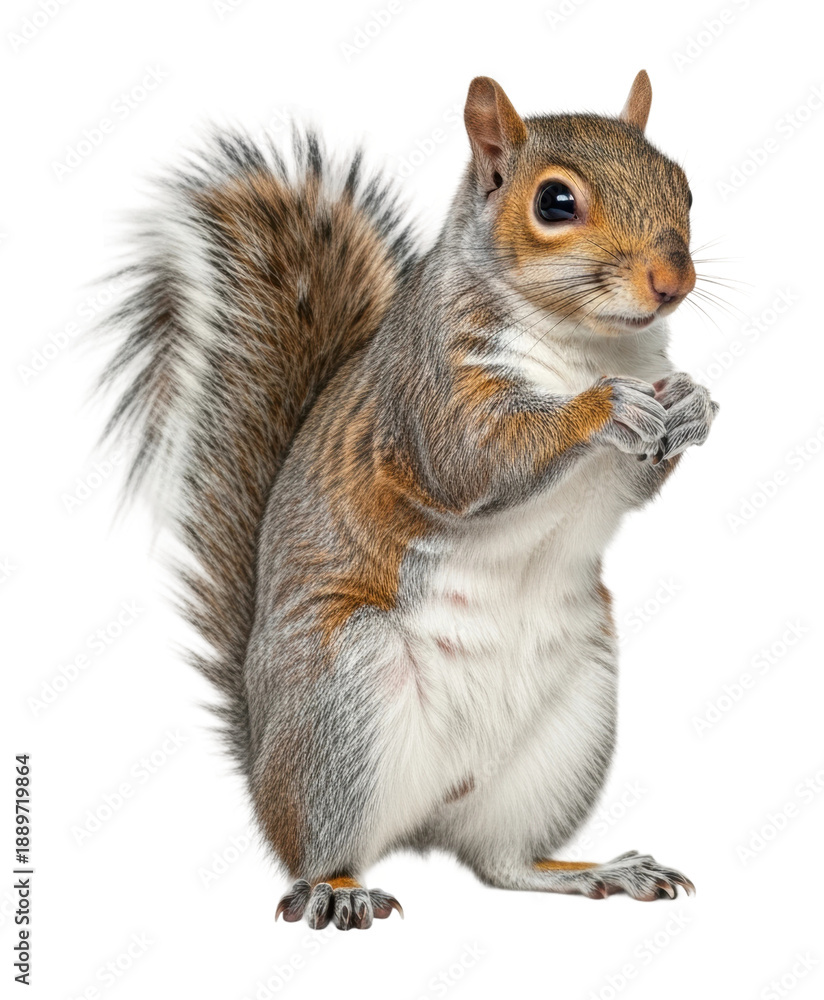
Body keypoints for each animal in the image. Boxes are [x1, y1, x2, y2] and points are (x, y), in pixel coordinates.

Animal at [99, 70, 718, 930]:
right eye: (556, 202)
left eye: (684, 186)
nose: (674, 283)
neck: (589, 343)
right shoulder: (431, 391)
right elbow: (473, 460)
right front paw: (601, 410)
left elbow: (636, 475)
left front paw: (692, 404)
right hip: (342, 700)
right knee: (318, 849)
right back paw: (336, 889)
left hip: (567, 729)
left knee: (503, 862)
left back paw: (596, 872)